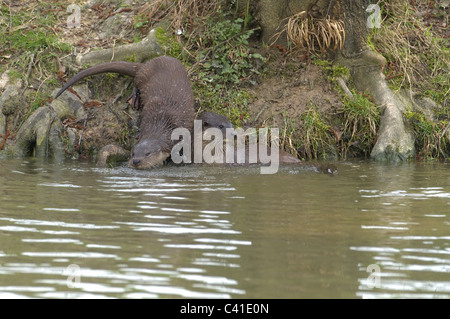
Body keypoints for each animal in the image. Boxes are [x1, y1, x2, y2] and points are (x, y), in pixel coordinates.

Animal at [54, 56, 195, 170]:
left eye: (147, 154)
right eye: (133, 153)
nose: (136, 161)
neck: (162, 122)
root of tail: (146, 64)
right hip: (143, 77)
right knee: (136, 83)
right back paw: (135, 98)